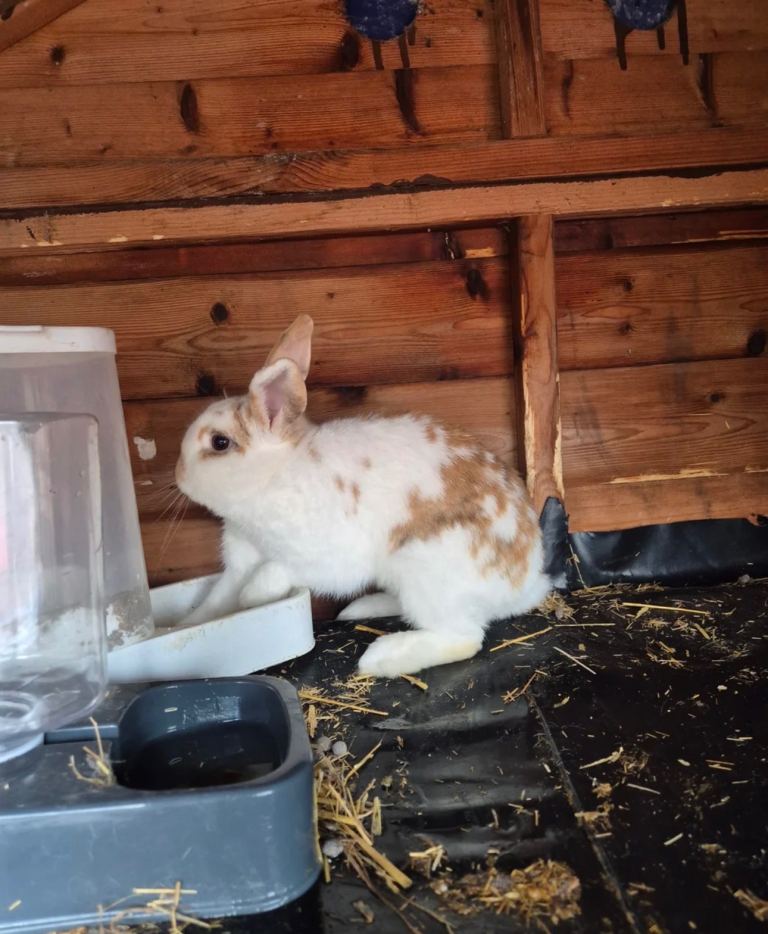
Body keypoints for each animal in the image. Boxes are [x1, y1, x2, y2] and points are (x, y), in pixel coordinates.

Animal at [175, 314, 550, 677]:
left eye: (219, 443)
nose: (178, 475)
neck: (273, 477)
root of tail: (527, 583)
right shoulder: (239, 562)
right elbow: (215, 602)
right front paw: (188, 623)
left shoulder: (322, 559)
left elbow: (273, 572)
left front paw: (252, 597)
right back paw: (362, 609)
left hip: (428, 573)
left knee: (464, 638)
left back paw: (380, 658)